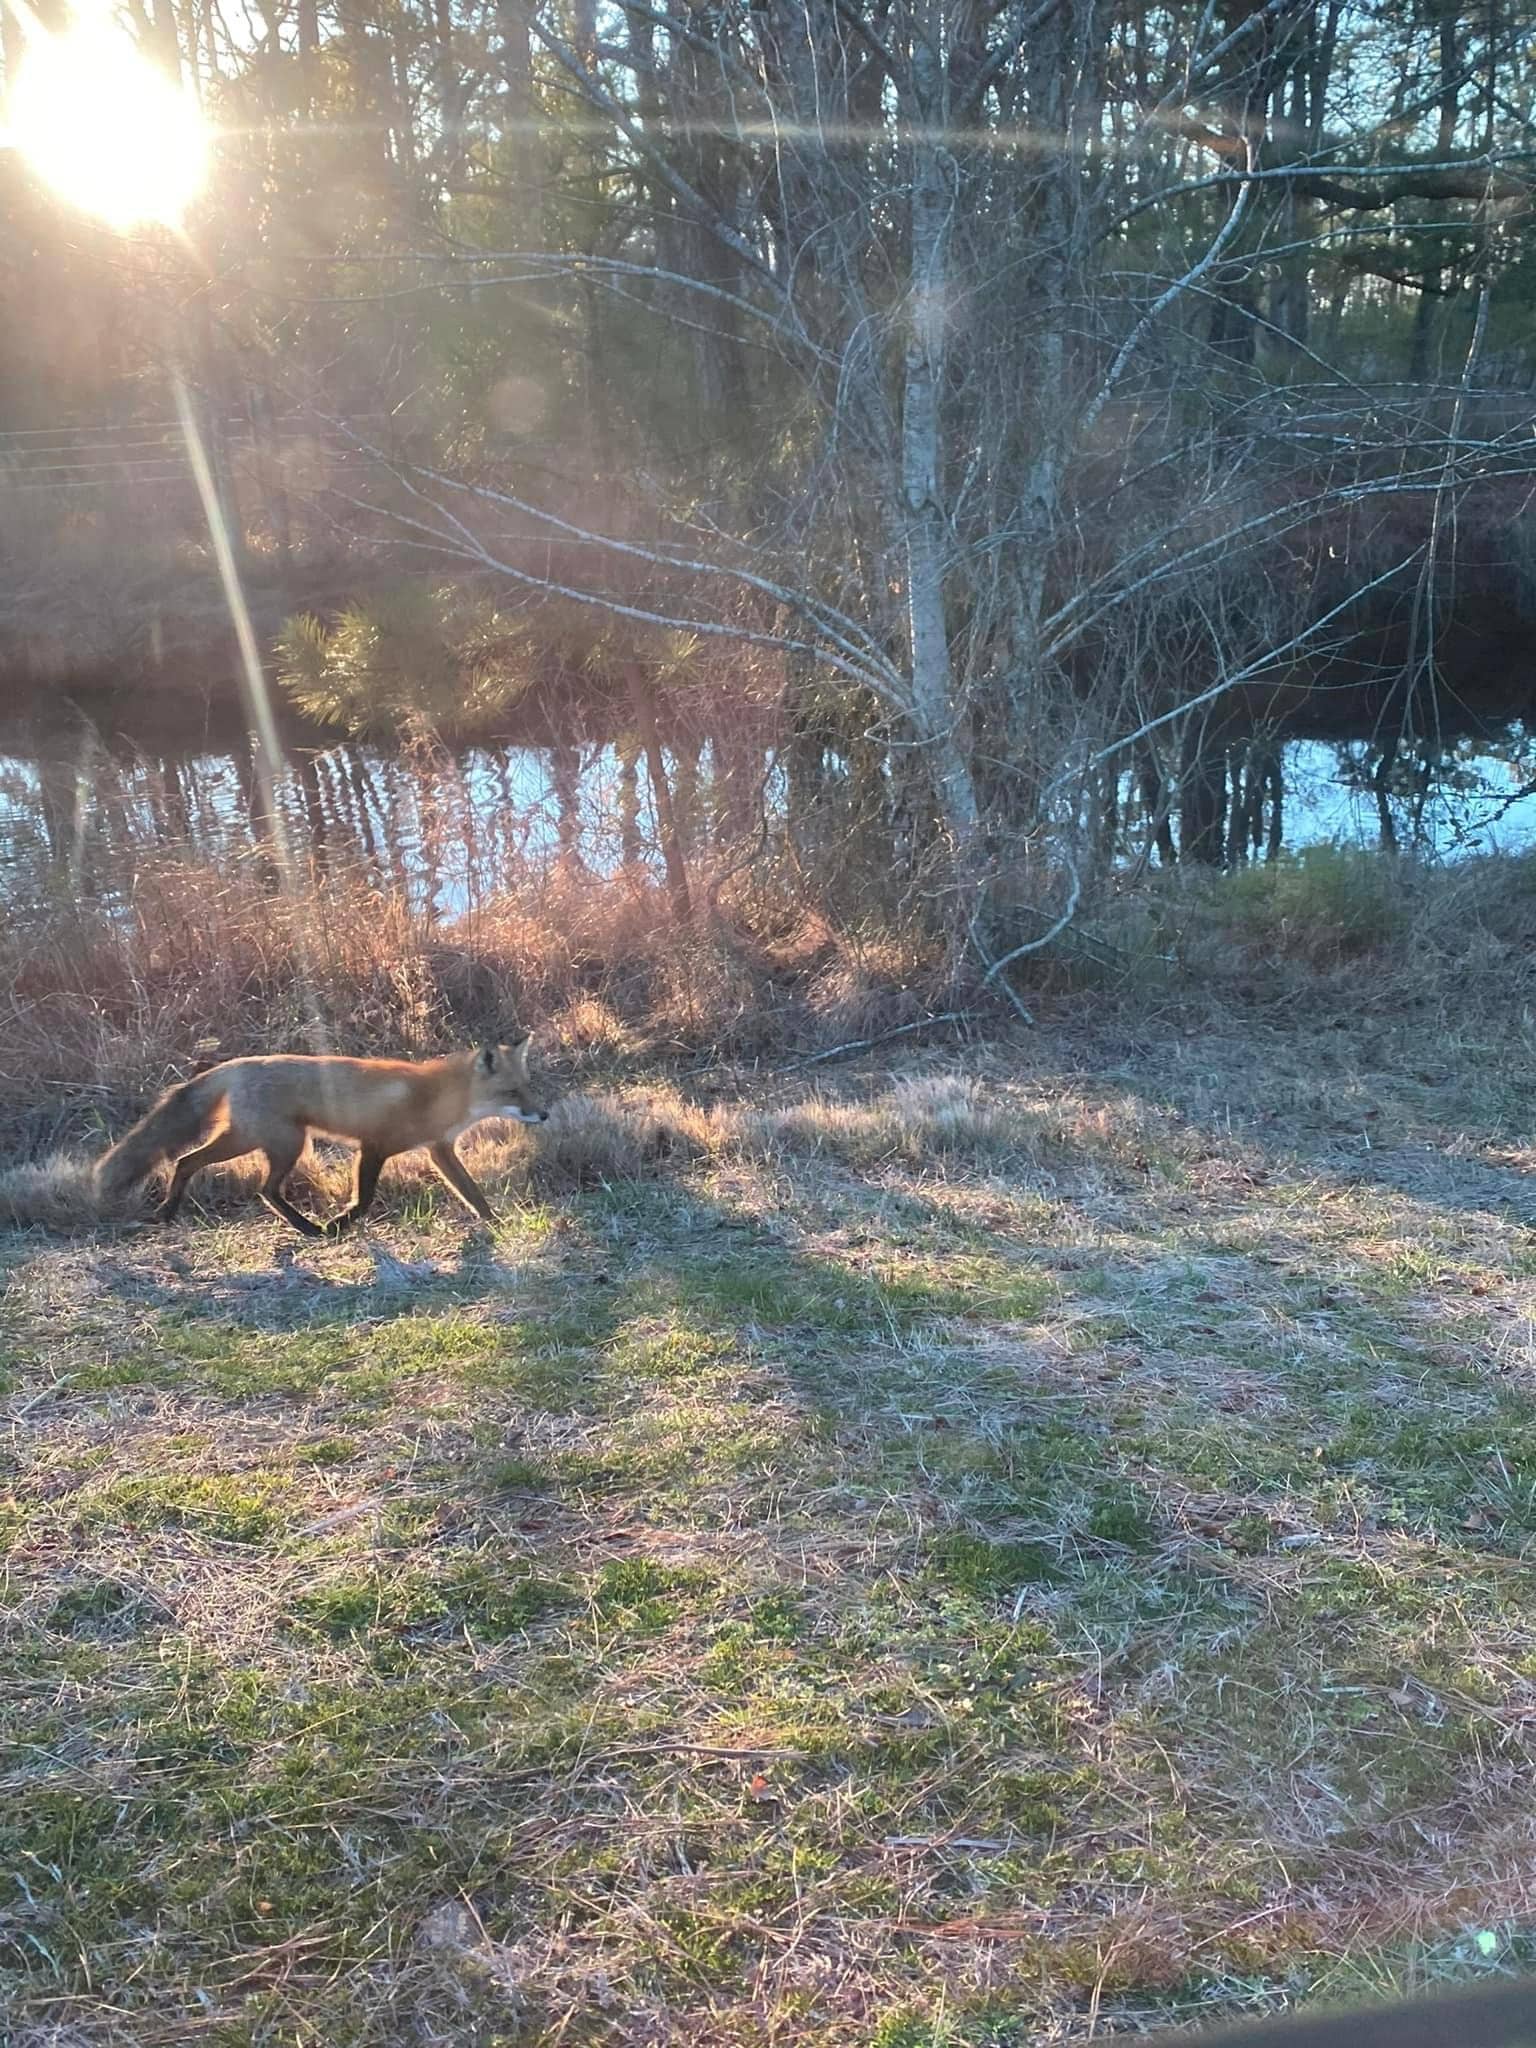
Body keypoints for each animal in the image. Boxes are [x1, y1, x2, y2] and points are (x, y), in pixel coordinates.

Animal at [93, 1040, 548, 1228]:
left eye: (528, 1086)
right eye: (512, 1092)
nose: (544, 1113)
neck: (438, 1097)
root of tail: (238, 1064)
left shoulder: (439, 1149)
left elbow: (473, 1193)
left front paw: (496, 1223)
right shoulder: (374, 1146)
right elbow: (363, 1200)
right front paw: (340, 1224)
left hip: (266, 1141)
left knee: (201, 1166)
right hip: (278, 1143)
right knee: (245, 1182)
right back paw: (309, 1228)